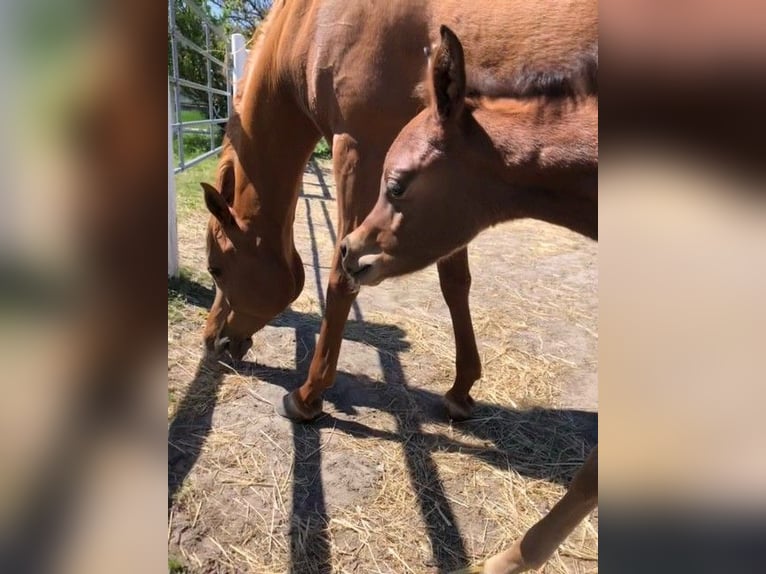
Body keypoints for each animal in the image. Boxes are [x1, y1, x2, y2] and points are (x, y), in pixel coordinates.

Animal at [200, 0, 597, 421]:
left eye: (215, 268)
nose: (213, 341)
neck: (314, 23)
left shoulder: (358, 149)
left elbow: (341, 278)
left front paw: (308, 395)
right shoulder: (449, 198)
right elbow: (454, 282)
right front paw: (461, 389)